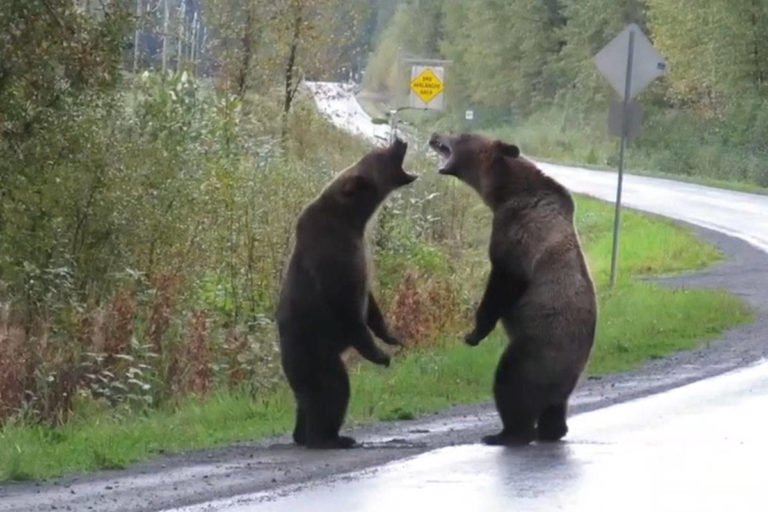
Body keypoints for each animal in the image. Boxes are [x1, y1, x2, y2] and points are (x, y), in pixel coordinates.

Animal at [276, 137, 416, 449]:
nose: (400, 140)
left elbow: (371, 303)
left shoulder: (360, 255)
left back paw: (303, 434)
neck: (353, 219)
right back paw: (330, 437)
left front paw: (392, 336)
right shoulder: (334, 261)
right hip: (315, 352)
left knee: (305, 402)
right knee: (333, 388)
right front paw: (381, 355)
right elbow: (350, 312)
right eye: (380, 153)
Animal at [429, 132, 597, 445]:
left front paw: (473, 333)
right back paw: (551, 430)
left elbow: (503, 282)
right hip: (562, 370)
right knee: (555, 406)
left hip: (539, 346)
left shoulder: (517, 232)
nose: (435, 135)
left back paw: (506, 433)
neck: (503, 193)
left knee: (510, 381)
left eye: (461, 136)